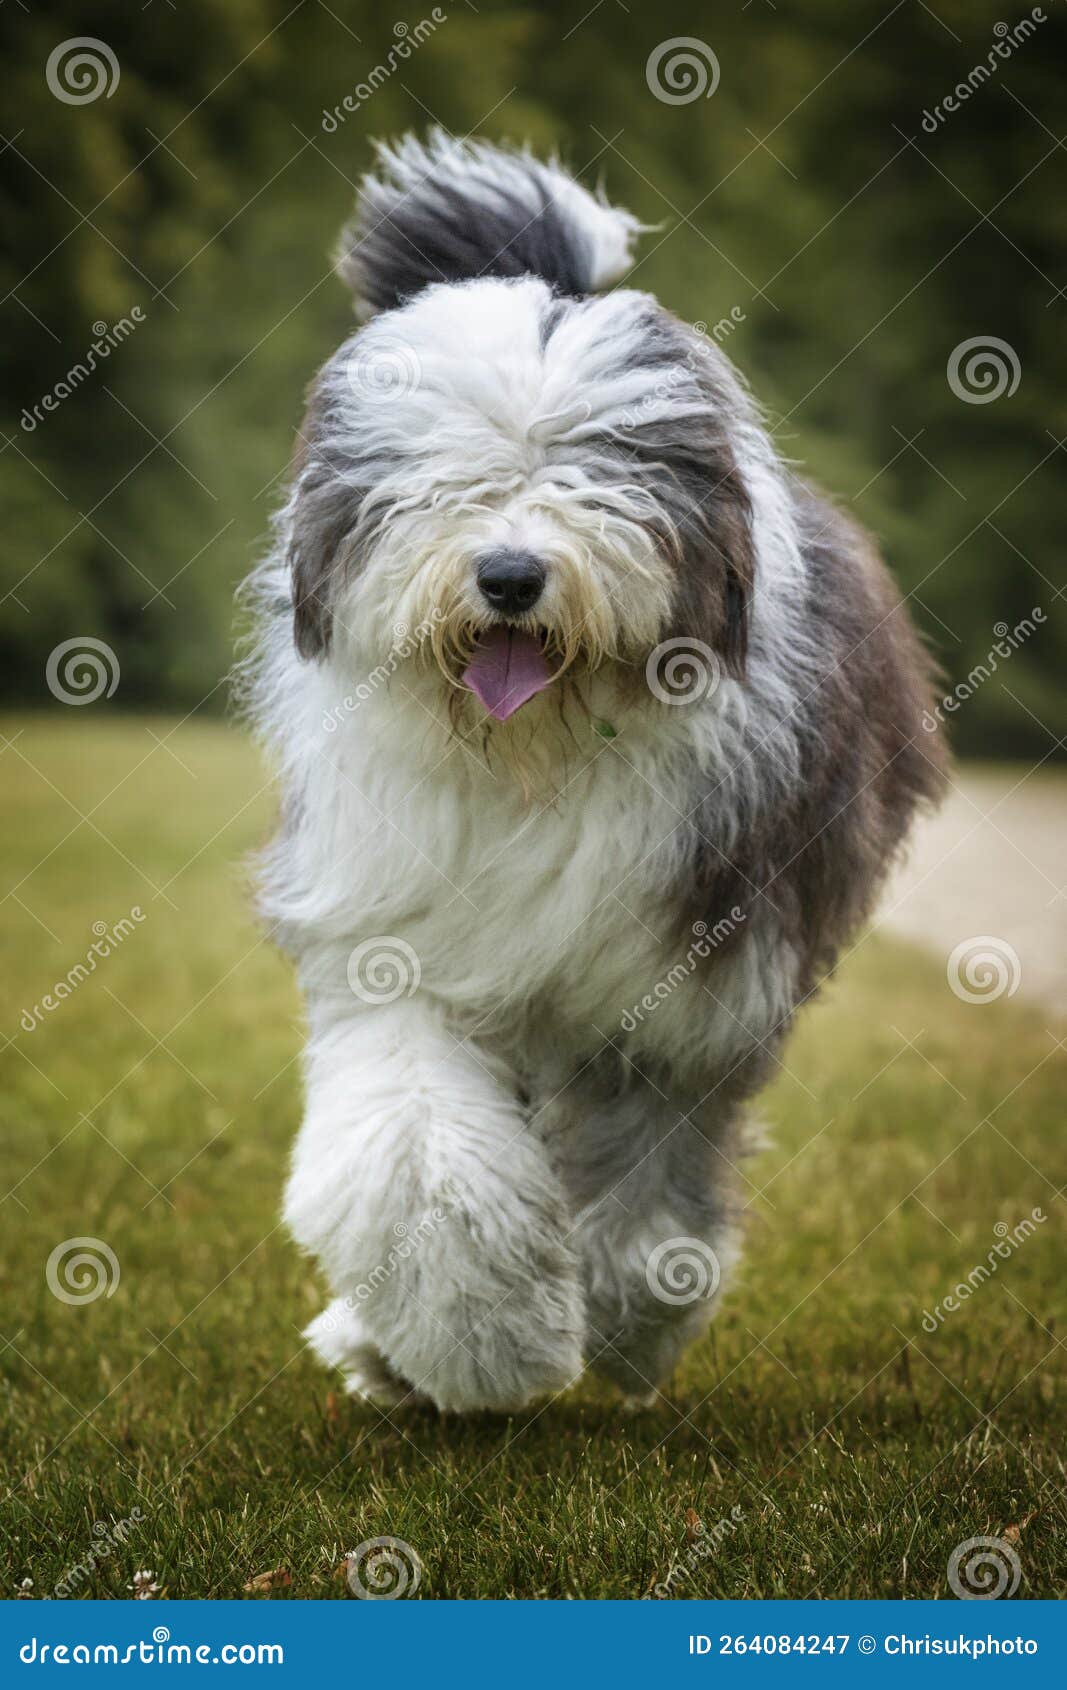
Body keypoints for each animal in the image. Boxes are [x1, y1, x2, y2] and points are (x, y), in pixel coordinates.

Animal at [246, 131, 946, 1412]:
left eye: (596, 475)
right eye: (448, 480)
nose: (511, 575)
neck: (541, 757)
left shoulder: (690, 985)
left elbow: (647, 1181)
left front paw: (625, 1320)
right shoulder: (403, 936)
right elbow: (415, 1156)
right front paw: (479, 1341)